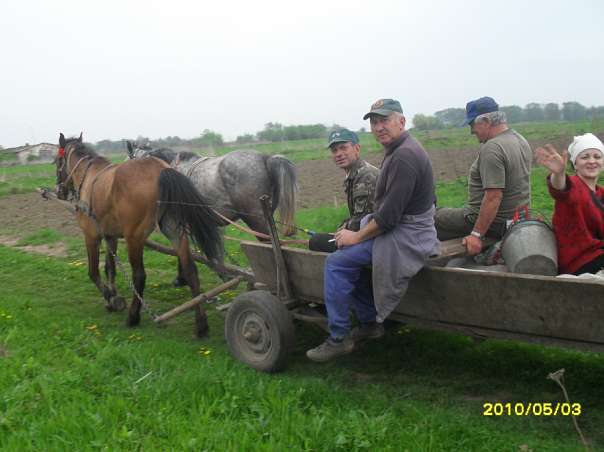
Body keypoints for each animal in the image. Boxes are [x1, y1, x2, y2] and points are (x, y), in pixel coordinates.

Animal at [55, 132, 222, 338]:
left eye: (57, 160)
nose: (59, 190)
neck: (88, 178)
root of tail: (160, 170)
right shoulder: (110, 236)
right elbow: (110, 268)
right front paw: (112, 295)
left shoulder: (91, 236)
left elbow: (93, 272)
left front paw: (111, 299)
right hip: (174, 231)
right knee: (190, 270)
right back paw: (201, 324)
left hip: (134, 237)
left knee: (139, 275)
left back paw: (133, 316)